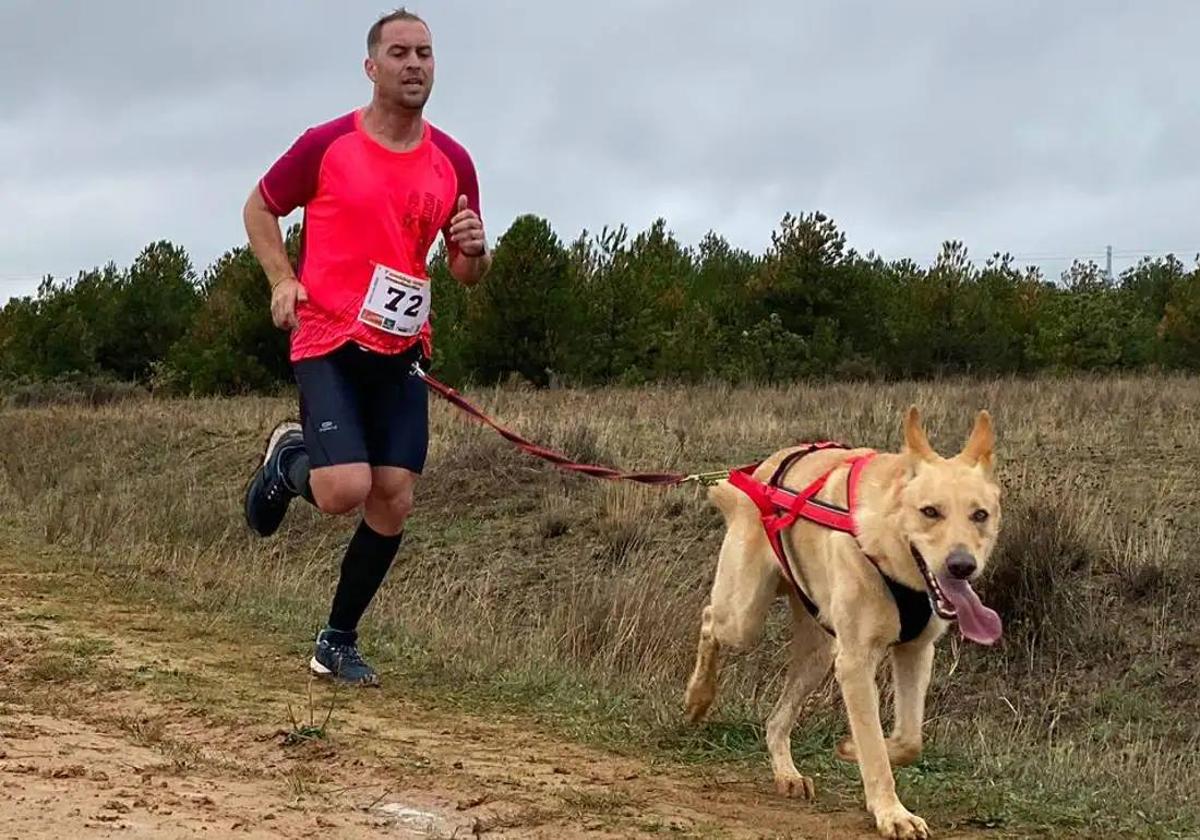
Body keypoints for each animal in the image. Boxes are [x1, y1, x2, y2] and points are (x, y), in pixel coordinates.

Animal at [686, 403, 1003, 835]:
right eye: (930, 512)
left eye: (980, 515)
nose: (962, 566)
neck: (888, 550)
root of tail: (760, 473)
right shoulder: (855, 663)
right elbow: (875, 746)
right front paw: (891, 812)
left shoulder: (916, 652)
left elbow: (908, 740)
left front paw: (852, 748)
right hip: (744, 619)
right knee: (709, 621)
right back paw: (697, 697)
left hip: (819, 654)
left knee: (777, 721)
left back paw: (786, 772)